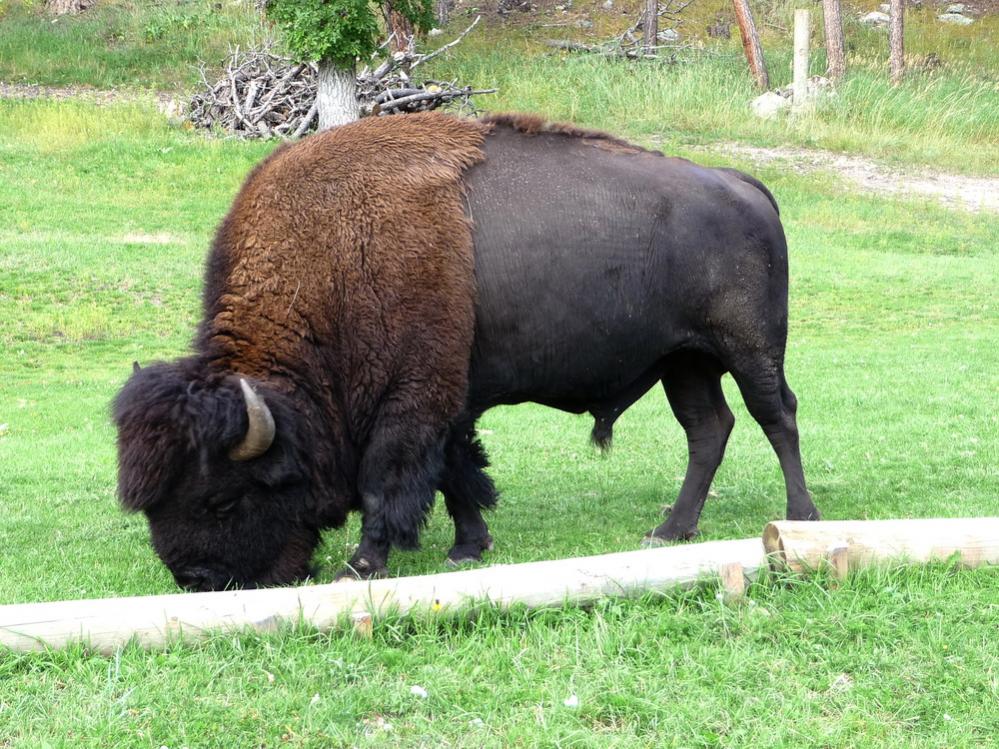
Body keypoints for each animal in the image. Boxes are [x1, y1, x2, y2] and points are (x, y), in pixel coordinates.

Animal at [113, 112, 820, 591]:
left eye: (221, 500)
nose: (197, 579)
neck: (334, 258)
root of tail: (743, 183)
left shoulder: (410, 401)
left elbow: (389, 478)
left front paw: (363, 563)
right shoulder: (449, 400)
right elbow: (456, 473)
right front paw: (468, 547)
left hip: (749, 349)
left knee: (776, 416)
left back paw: (800, 517)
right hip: (685, 363)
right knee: (709, 429)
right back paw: (670, 530)